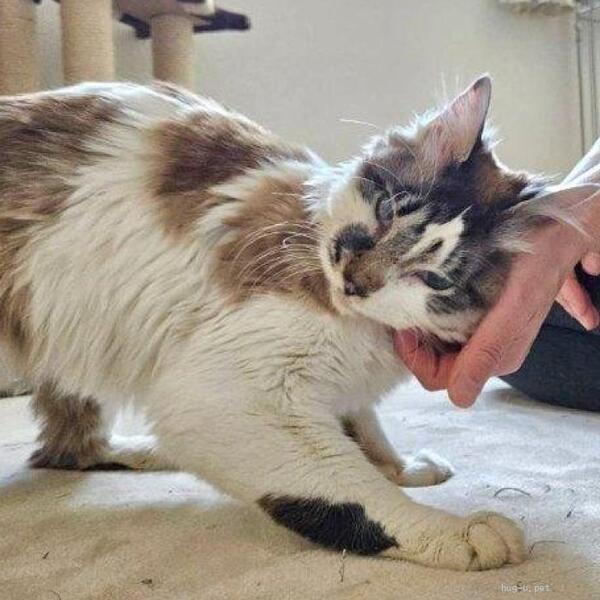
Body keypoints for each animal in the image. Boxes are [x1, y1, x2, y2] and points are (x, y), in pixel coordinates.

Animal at [0, 76, 547, 570]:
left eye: (435, 280)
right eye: (386, 209)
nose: (354, 278)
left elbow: (365, 428)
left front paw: (401, 466)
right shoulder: (237, 393)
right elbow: (352, 489)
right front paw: (450, 530)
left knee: (67, 449)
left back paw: (147, 452)